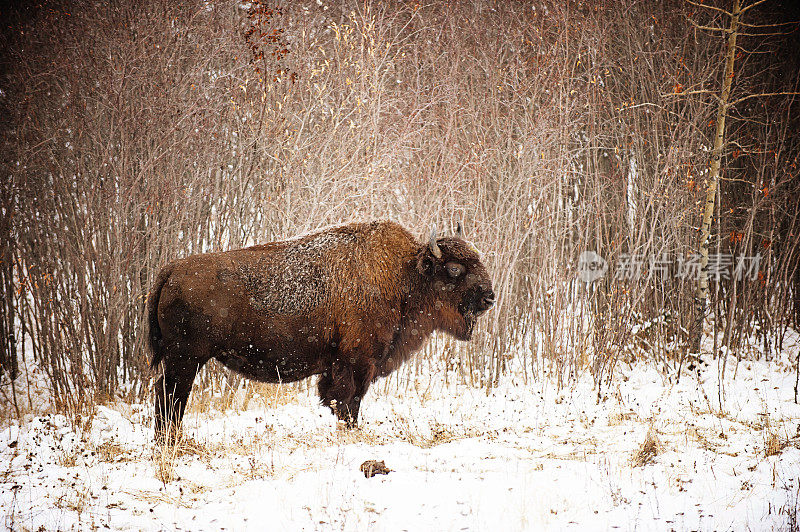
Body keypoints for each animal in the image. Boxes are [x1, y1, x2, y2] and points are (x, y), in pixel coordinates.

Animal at [145, 220, 494, 440]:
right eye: (454, 269)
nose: (490, 297)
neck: (405, 274)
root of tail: (171, 270)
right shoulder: (357, 362)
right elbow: (348, 401)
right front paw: (352, 431)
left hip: (183, 360)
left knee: (167, 393)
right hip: (185, 359)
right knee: (171, 394)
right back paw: (171, 441)